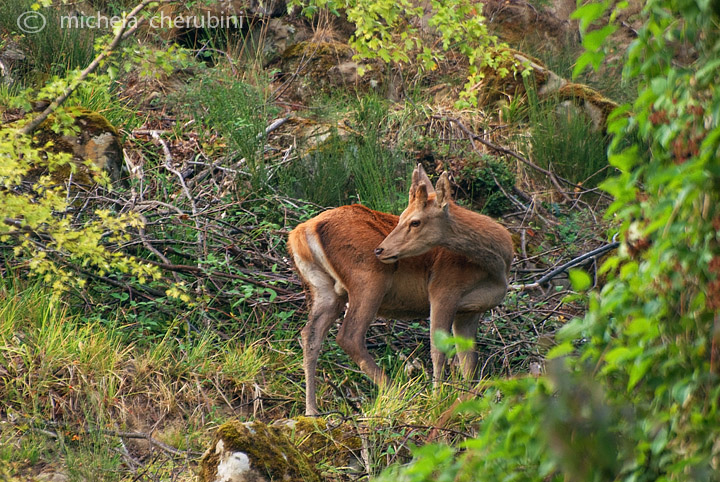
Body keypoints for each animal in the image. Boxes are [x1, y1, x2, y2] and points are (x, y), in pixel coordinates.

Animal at [286, 164, 512, 416]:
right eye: (401, 217)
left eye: (415, 221)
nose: (381, 249)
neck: (496, 266)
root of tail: (300, 233)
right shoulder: (443, 289)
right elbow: (438, 349)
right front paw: (437, 401)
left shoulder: (471, 311)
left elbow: (469, 362)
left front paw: (470, 402)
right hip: (369, 278)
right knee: (349, 336)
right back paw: (398, 393)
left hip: (326, 291)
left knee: (310, 335)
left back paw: (312, 410)